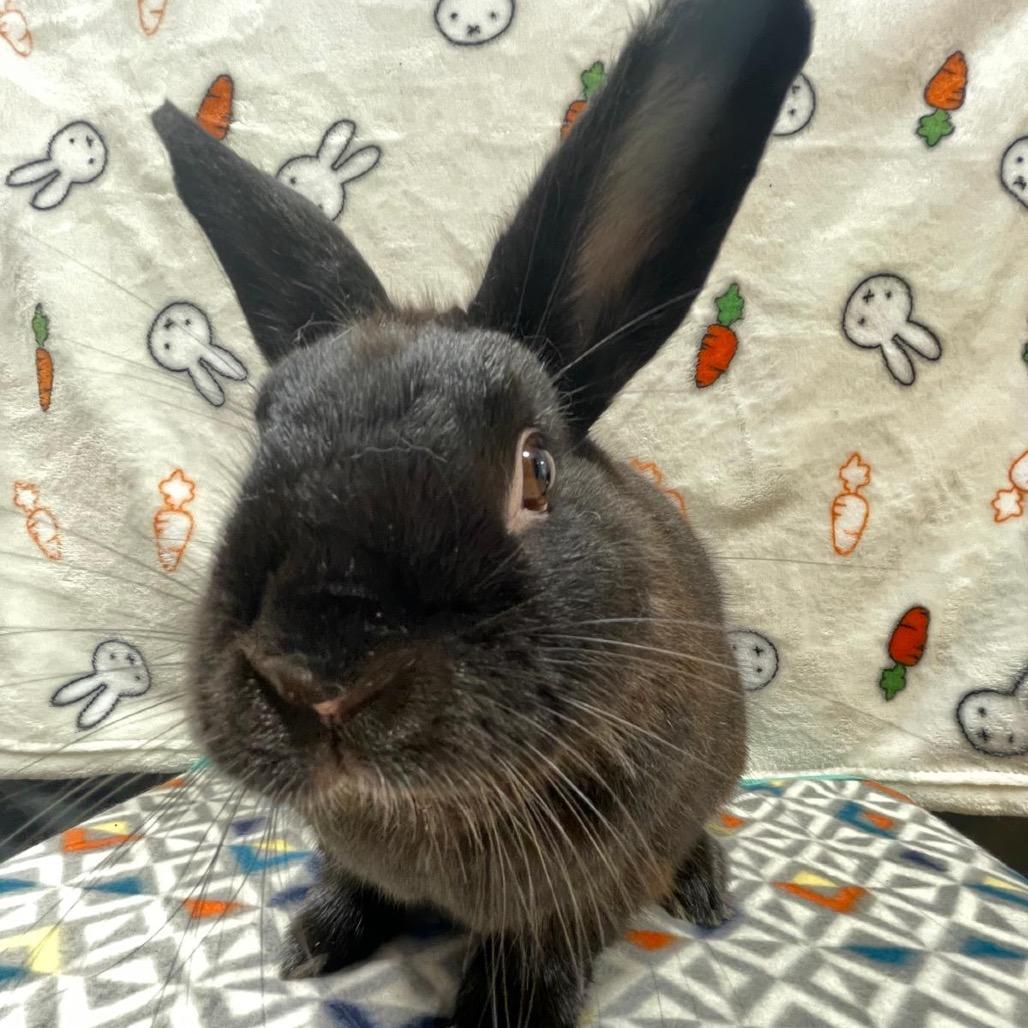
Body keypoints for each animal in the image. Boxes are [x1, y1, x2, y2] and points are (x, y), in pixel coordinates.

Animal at [151, 1, 811, 1024]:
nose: (317, 678)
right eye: (264, 433)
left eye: (535, 471)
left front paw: (506, 1010)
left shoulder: (597, 877)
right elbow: (354, 883)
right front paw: (312, 941)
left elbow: (544, 942)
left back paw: (703, 887)